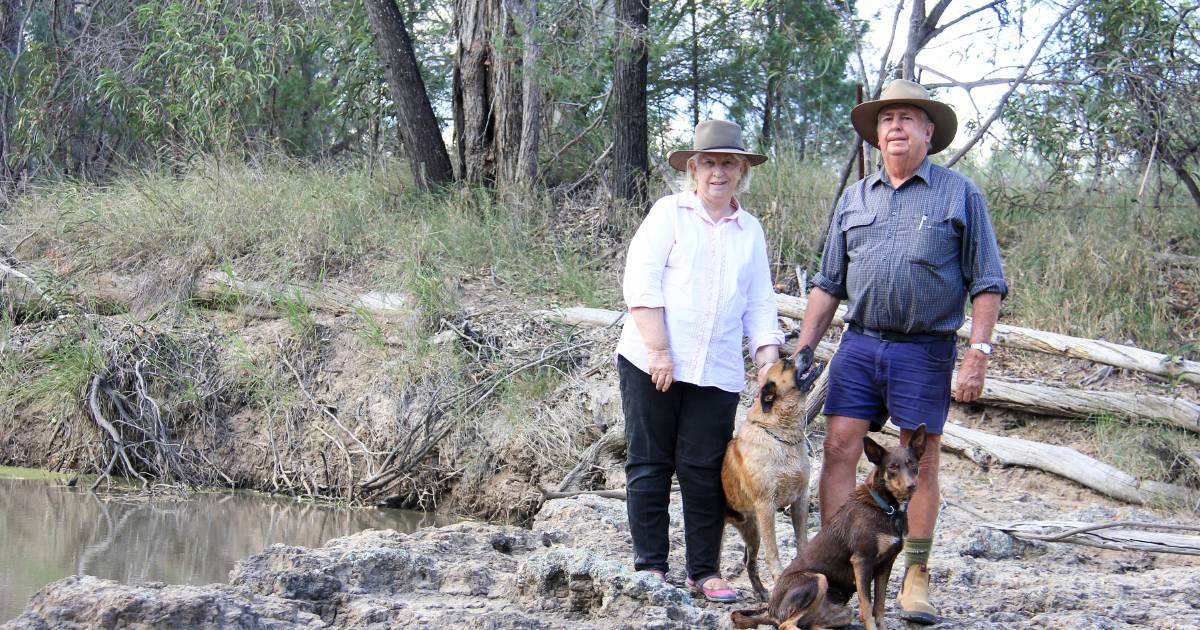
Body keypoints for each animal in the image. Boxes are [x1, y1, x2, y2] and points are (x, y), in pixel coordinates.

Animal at [720, 348, 825, 600]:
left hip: (752, 531)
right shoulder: (765, 505)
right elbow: (773, 551)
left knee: (749, 562)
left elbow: (802, 541)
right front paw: (779, 577)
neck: (782, 437)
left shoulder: (800, 500)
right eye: (787, 362)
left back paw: (760, 592)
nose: (807, 347)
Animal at [724, 422, 931, 628]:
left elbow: (879, 606)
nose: (911, 486)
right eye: (892, 467)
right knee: (785, 624)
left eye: (913, 465)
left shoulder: (886, 563)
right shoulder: (862, 560)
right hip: (817, 579)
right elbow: (867, 606)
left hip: (841, 612)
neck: (887, 507)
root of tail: (770, 610)